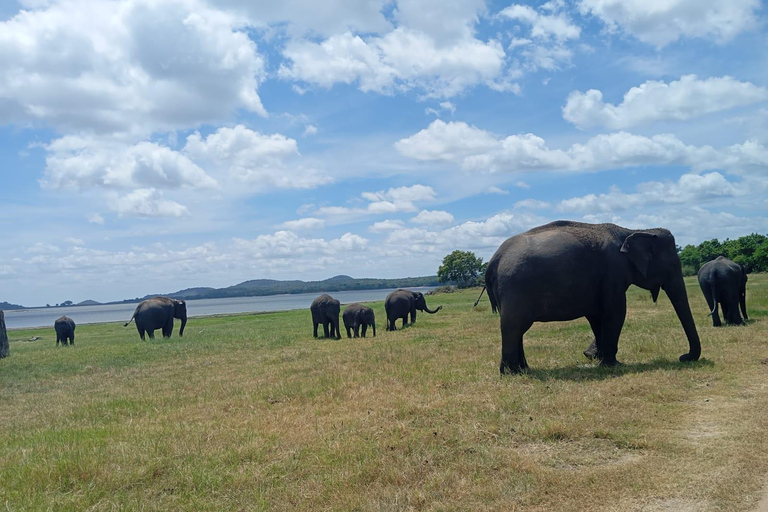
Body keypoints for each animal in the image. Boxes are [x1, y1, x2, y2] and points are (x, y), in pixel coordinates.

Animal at [486, 219, 704, 372]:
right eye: (673, 264)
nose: (683, 357)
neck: (632, 230)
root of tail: (494, 260)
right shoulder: (613, 271)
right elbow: (616, 312)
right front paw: (613, 364)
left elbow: (597, 316)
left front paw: (599, 358)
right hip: (515, 288)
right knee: (514, 326)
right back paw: (511, 372)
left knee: (517, 328)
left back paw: (523, 369)